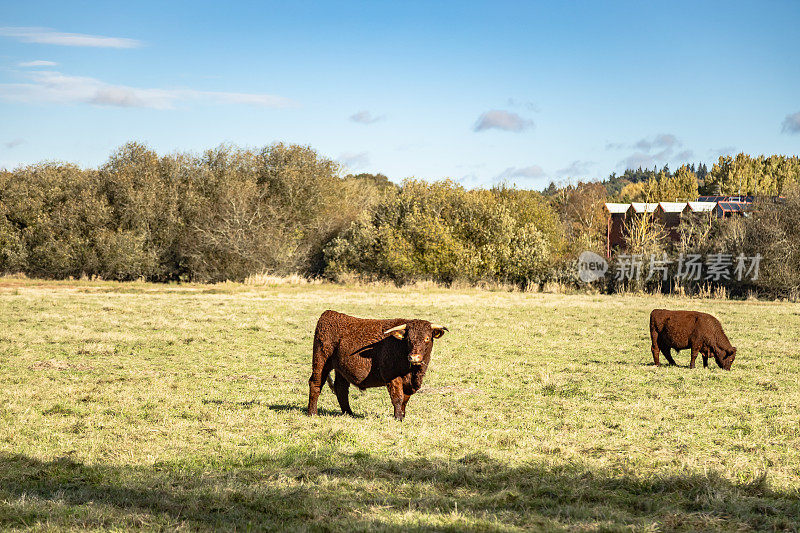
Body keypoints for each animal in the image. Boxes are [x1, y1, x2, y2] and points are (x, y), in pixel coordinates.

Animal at [306, 310, 446, 418]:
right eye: (408, 339)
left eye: (427, 338)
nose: (414, 357)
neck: (413, 372)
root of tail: (329, 313)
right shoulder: (391, 375)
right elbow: (398, 397)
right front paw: (398, 417)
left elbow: (405, 400)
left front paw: (403, 415)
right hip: (321, 361)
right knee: (316, 384)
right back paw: (312, 413)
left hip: (340, 368)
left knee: (341, 389)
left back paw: (349, 413)